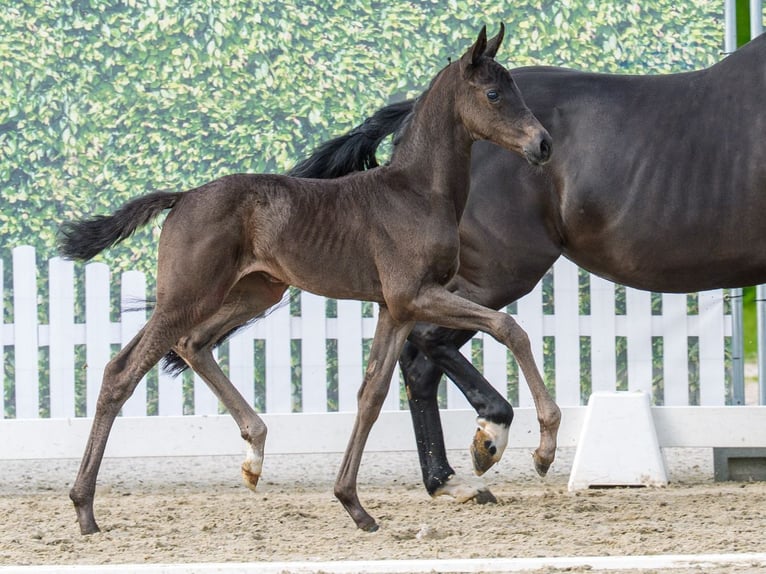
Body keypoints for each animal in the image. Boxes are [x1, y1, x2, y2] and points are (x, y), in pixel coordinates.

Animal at [59, 25, 557, 535]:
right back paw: (84, 508)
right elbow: (509, 328)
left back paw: (254, 453)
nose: (543, 145)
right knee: (123, 372)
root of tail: (183, 196)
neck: (417, 192)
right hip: (188, 295)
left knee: (191, 344)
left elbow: (372, 393)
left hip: (251, 293)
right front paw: (544, 449)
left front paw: (353, 504)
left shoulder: (395, 309)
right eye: (494, 94)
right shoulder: (416, 295)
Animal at [288, 33, 766, 501]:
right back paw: (494, 434)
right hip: (495, 275)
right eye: (494, 94)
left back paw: (446, 478)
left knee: (419, 360)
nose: (542, 145)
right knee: (432, 342)